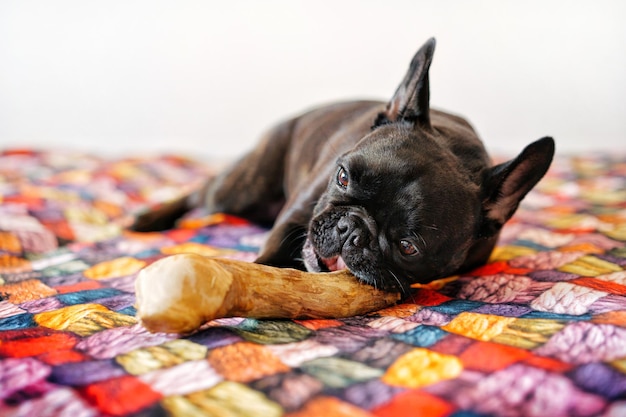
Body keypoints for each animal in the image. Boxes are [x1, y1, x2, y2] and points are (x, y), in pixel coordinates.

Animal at [134, 39, 552, 292]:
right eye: (342, 176)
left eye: (408, 247)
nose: (351, 227)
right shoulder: (298, 215)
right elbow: (269, 260)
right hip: (238, 191)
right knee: (201, 193)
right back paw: (150, 219)